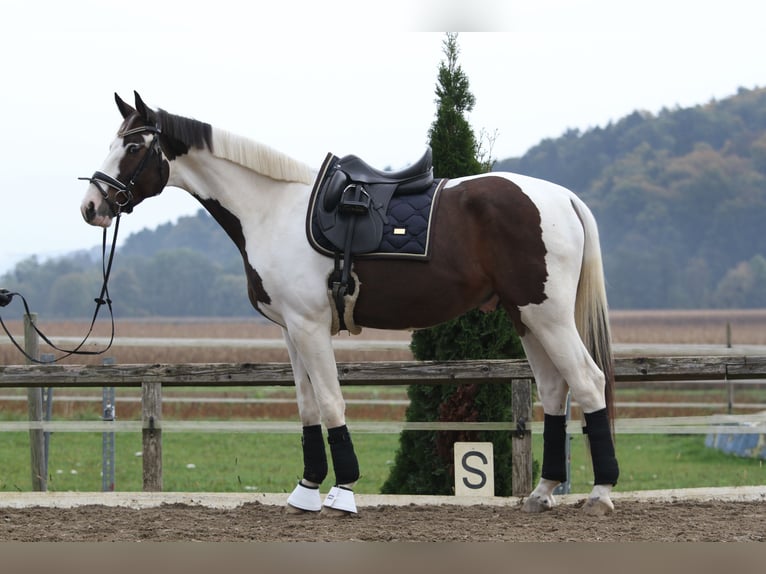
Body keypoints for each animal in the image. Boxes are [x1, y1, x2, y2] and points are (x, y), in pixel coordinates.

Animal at [80, 92, 619, 516]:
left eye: (132, 146)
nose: (91, 207)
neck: (274, 209)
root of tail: (564, 199)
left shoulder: (311, 326)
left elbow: (331, 401)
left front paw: (342, 493)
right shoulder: (291, 330)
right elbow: (306, 406)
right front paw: (305, 491)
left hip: (546, 314)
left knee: (588, 381)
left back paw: (601, 492)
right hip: (524, 316)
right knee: (554, 389)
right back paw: (543, 492)